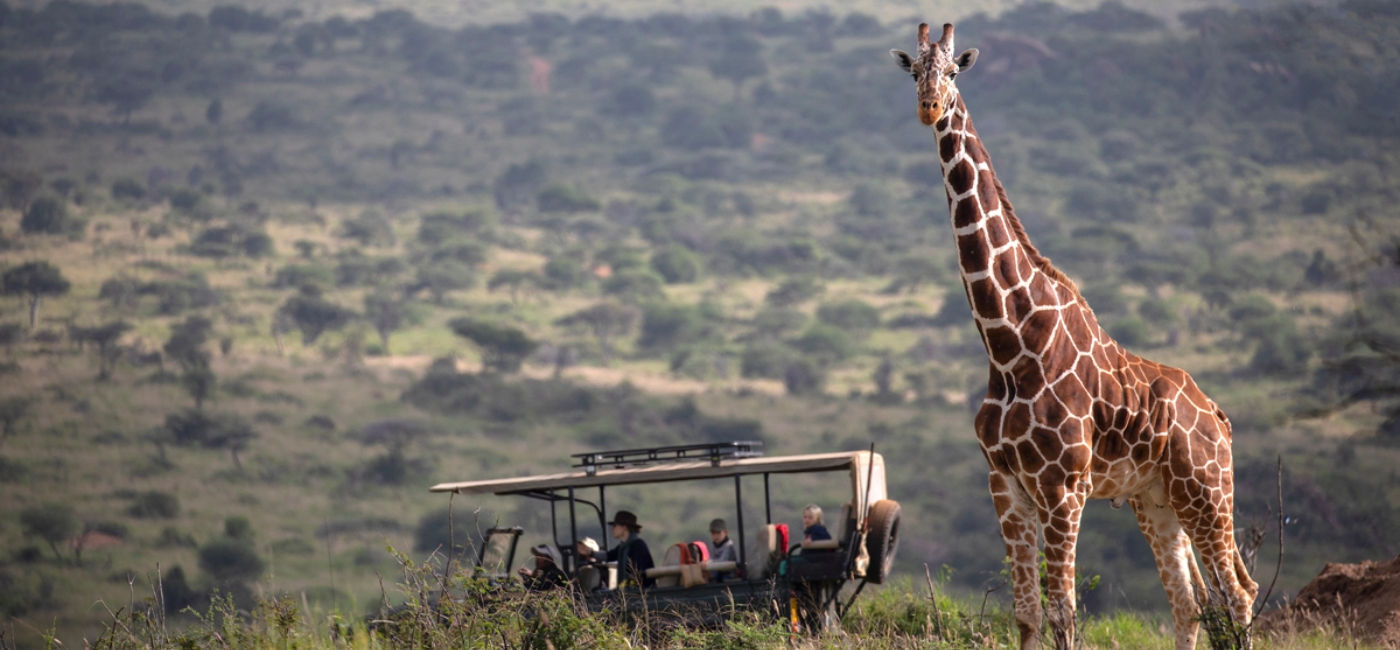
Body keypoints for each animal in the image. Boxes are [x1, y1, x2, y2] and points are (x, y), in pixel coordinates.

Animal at [890, 22, 1265, 647]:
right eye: (914, 71)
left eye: (954, 71)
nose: (928, 107)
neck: (1009, 343)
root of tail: (1218, 416)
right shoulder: (1006, 484)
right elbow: (1027, 613)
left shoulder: (1064, 487)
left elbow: (1064, 611)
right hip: (1156, 500)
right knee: (1193, 604)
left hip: (1207, 490)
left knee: (1238, 594)